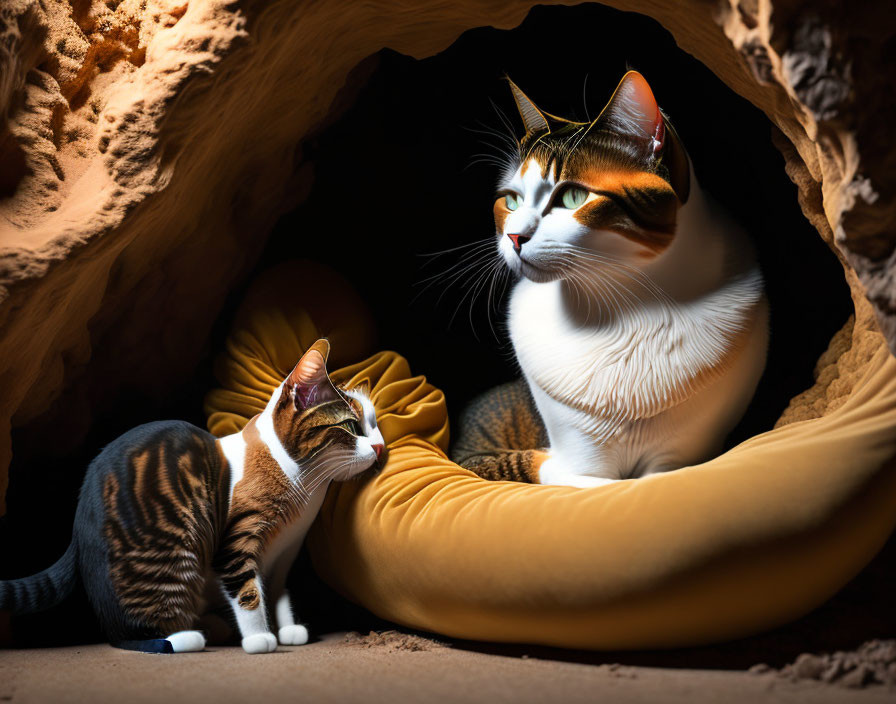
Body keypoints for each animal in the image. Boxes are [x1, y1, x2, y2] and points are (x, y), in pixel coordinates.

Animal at [0, 340, 382, 656]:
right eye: (351, 427)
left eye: (375, 425)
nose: (380, 447)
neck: (304, 488)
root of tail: (78, 526)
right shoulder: (236, 542)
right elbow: (248, 592)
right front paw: (259, 638)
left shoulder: (286, 551)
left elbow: (278, 592)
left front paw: (288, 629)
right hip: (167, 559)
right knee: (122, 633)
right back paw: (186, 637)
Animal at [456, 73, 768, 490]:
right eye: (511, 200)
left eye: (573, 196)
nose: (514, 237)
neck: (622, 306)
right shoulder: (567, 448)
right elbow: (580, 477)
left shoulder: (686, 446)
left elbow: (659, 478)